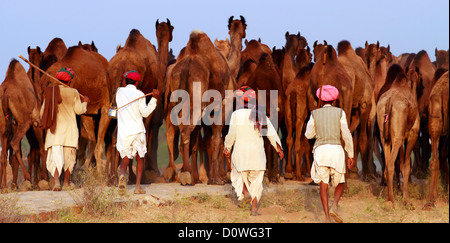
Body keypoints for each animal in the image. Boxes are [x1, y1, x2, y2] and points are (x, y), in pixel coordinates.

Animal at [0, 60, 45, 188]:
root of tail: (5, 93)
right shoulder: (36, 121)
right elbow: (42, 149)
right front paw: (44, 180)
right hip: (25, 121)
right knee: (15, 143)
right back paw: (27, 176)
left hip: (4, 125)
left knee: (4, 155)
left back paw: (5, 187)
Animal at [376, 64, 422, 203]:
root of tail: (389, 101)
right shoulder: (412, 134)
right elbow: (406, 166)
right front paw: (406, 198)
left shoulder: (401, 136)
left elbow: (401, 163)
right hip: (397, 137)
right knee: (391, 163)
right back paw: (391, 200)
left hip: (385, 136)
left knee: (387, 163)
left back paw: (388, 196)